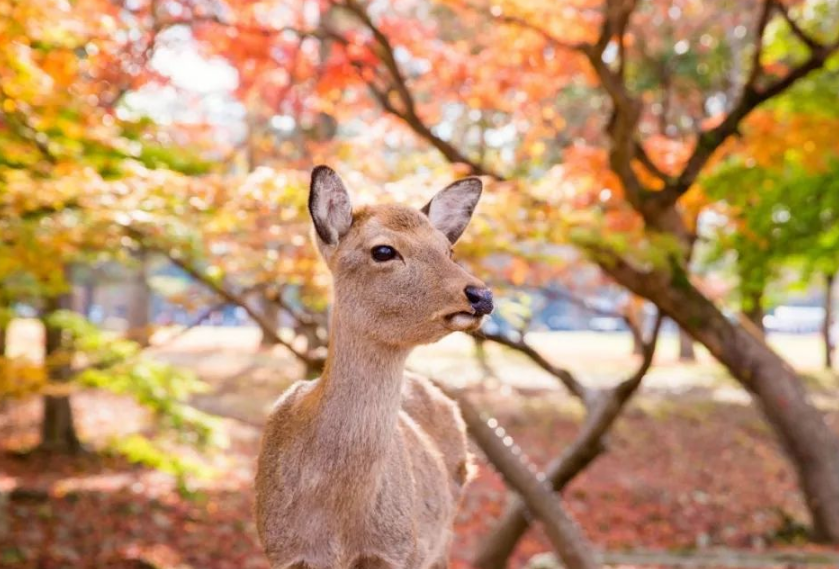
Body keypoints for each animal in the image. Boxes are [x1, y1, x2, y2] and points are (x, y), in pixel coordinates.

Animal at [256, 165, 492, 568]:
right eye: (383, 250)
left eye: (449, 250)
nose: (481, 295)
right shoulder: (279, 550)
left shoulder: (400, 550)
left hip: (442, 537)